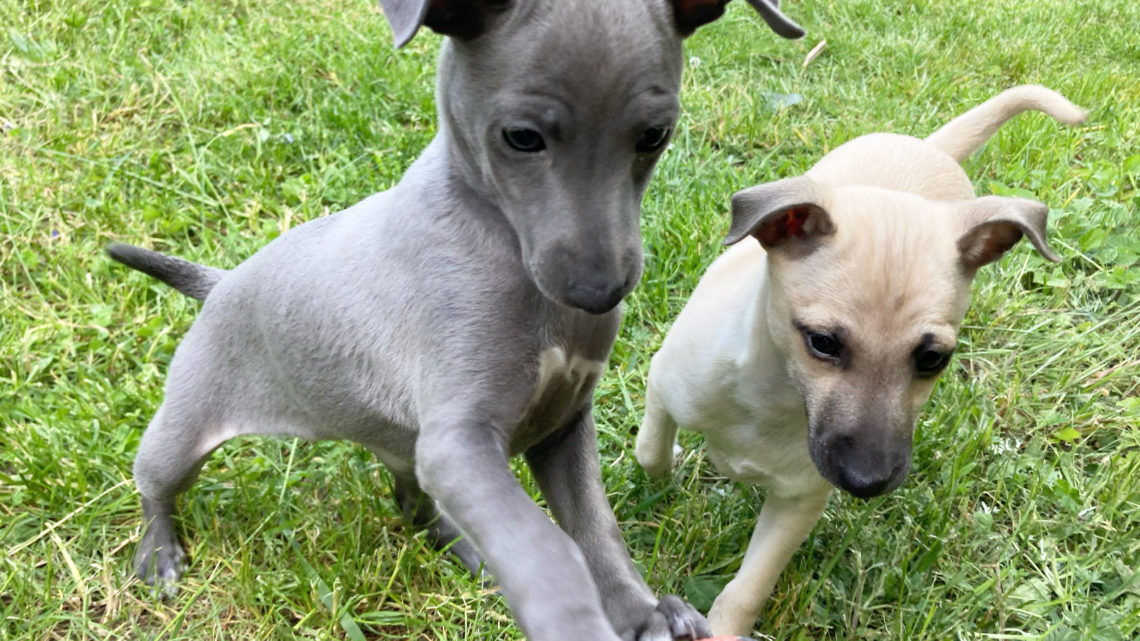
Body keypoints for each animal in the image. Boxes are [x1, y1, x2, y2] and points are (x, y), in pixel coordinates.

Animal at [104, 1, 802, 638]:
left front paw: (644, 614)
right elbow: (541, 543)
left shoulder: (562, 427)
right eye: (521, 137)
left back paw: (465, 548)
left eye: (654, 135)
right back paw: (159, 552)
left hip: (400, 443)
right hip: (188, 424)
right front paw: (573, 618)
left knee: (412, 502)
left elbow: (595, 529)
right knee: (154, 482)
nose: (598, 292)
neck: (502, 243)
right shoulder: (460, 442)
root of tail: (220, 282)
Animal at [633, 86, 1085, 634]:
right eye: (822, 343)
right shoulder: (665, 383)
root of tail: (928, 147)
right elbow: (650, 452)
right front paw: (666, 471)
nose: (868, 482)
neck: (774, 396)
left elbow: (749, 588)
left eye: (932, 358)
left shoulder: (799, 502)